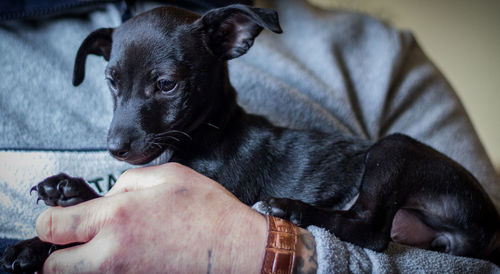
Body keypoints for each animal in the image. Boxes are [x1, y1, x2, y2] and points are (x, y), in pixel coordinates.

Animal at [0, 3, 500, 272]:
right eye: (110, 82)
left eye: (166, 85)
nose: (115, 148)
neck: (202, 136)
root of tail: (488, 226)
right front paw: (53, 210)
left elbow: (106, 205)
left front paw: (58, 214)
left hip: (394, 149)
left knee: (371, 229)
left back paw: (294, 209)